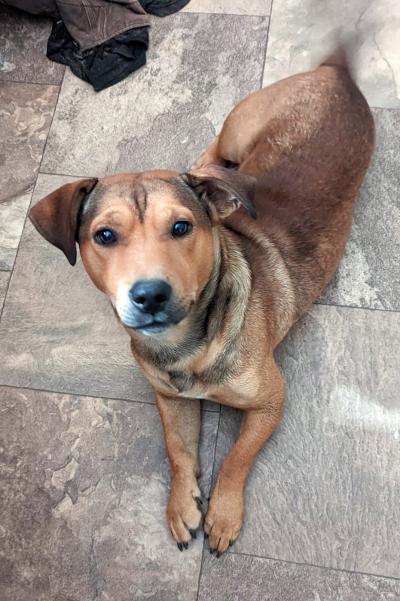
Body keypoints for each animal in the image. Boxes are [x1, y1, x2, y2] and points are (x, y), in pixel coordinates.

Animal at [28, 49, 376, 556]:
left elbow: (236, 457)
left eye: (181, 227)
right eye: (104, 236)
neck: (188, 347)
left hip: (243, 125)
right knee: (213, 157)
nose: (150, 294)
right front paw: (182, 505)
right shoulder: (168, 398)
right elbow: (177, 450)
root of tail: (339, 72)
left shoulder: (272, 401)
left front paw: (223, 515)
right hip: (240, 128)